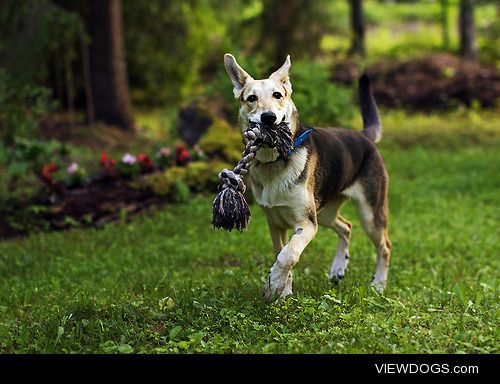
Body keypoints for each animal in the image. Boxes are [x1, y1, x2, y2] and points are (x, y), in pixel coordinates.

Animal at [223, 53, 390, 304]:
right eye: (251, 98)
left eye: (278, 95)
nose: (268, 118)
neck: (275, 162)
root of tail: (364, 136)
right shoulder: (275, 223)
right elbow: (281, 253)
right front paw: (284, 291)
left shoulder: (307, 224)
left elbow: (288, 254)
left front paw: (274, 285)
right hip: (326, 213)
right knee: (346, 226)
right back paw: (338, 267)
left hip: (369, 215)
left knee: (385, 247)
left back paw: (379, 285)